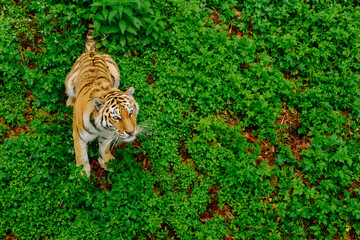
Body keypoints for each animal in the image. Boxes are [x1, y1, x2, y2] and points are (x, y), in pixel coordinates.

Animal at [64, 23, 139, 177]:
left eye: (131, 112)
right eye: (116, 117)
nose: (131, 132)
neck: (101, 128)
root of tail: (92, 52)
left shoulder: (108, 134)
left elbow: (104, 148)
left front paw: (107, 162)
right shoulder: (78, 135)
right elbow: (81, 154)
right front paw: (82, 173)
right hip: (69, 81)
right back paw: (70, 102)